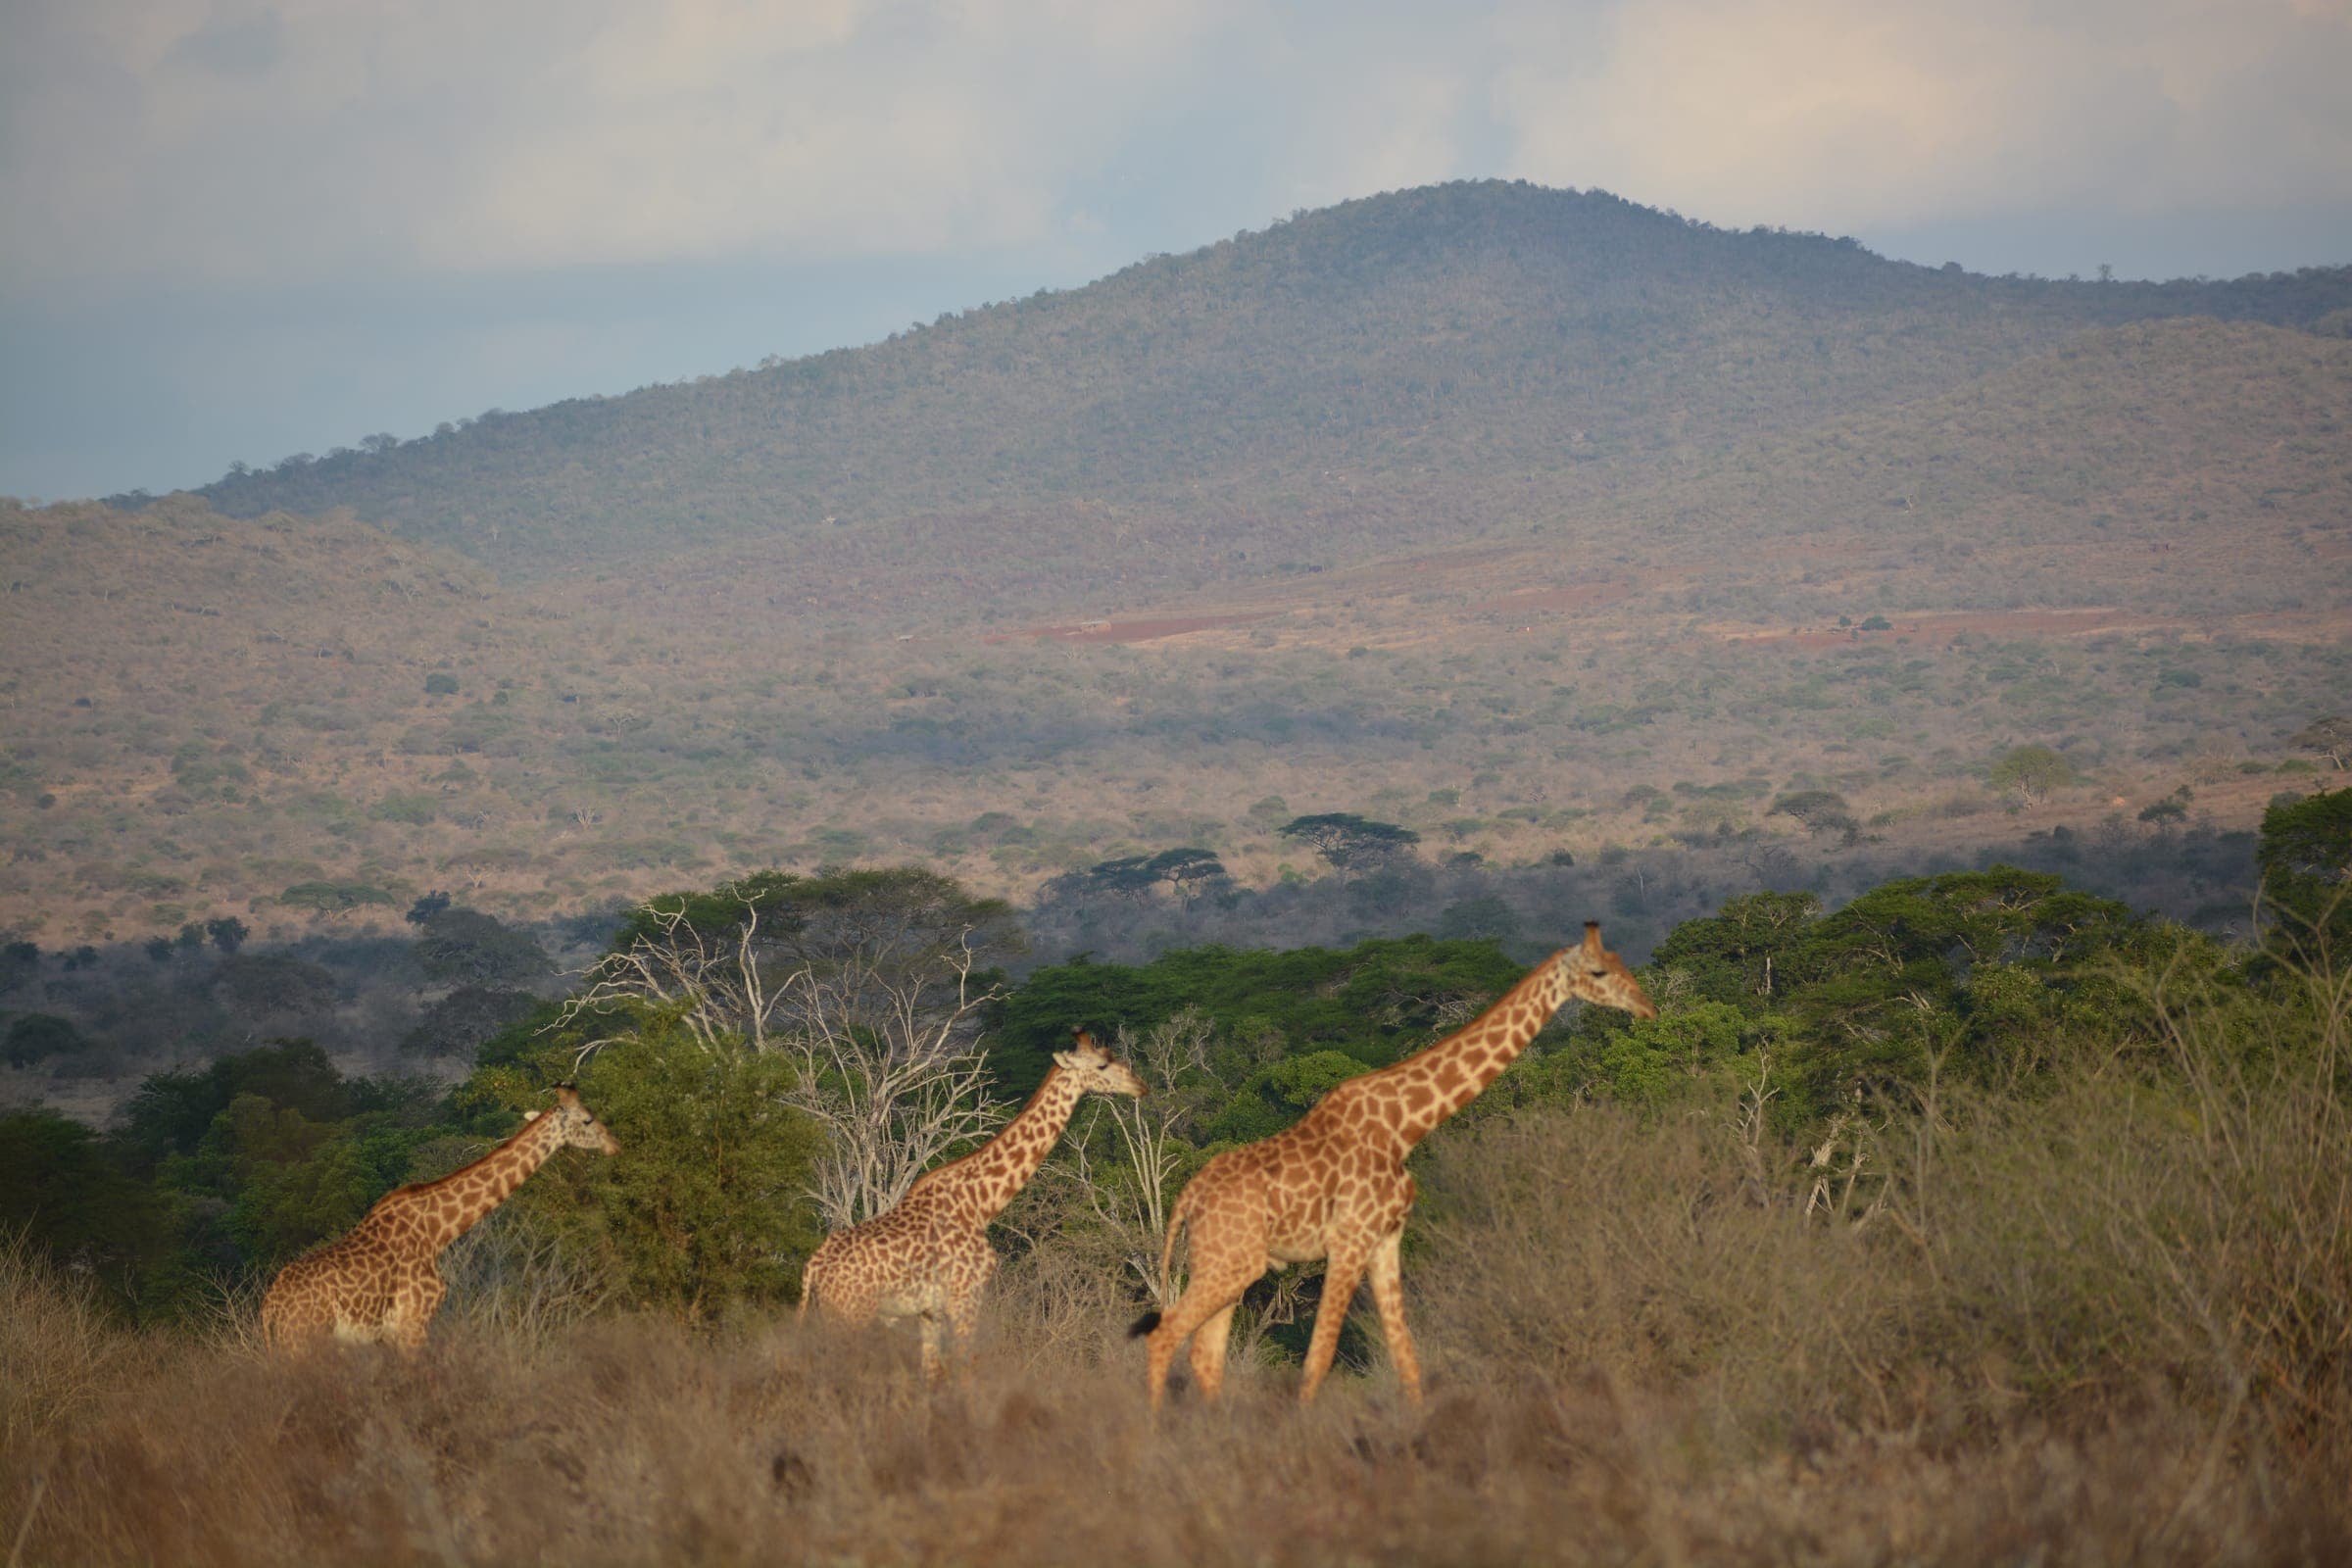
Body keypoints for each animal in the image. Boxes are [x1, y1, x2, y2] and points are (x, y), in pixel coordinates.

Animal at [259, 1085, 620, 1352]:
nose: (614, 1144)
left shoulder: (389, 1336)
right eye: (587, 1119)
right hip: (305, 1340)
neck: (436, 1230)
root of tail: (270, 1307)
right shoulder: (413, 1323)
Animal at [800, 1027, 1146, 1381]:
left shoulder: (931, 1311)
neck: (981, 1203)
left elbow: (932, 1373)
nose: (1139, 1085)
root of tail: (813, 1269)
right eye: (1102, 1065)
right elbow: (963, 1371)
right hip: (851, 1313)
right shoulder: (966, 1296)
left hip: (831, 1312)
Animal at [1131, 923, 1655, 1409]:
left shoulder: (1385, 1240)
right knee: (1166, 1336)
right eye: (1598, 972)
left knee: (1204, 1353)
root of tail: (1186, 1198)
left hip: (1231, 1264)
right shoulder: (1348, 1239)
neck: (1405, 1127)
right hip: (1228, 1263)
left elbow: (1407, 1358)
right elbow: (1319, 1358)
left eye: (1618, 961)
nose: (1646, 1007)